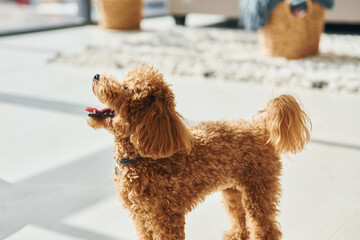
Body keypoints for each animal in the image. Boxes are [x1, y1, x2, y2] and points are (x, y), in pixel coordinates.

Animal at [86, 64, 310, 239]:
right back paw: (235, 235)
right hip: (233, 190)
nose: (96, 75)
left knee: (266, 227)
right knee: (240, 217)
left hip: (259, 188)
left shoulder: (166, 217)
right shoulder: (140, 217)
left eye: (126, 87)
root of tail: (260, 128)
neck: (141, 156)